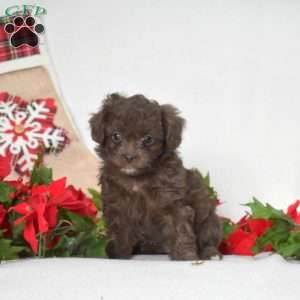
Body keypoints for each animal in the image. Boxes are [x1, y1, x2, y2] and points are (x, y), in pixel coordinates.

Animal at [90, 94, 221, 260]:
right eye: (116, 136)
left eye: (148, 139)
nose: (129, 157)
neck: (137, 177)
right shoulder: (117, 204)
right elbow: (118, 233)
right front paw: (117, 255)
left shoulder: (172, 202)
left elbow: (180, 228)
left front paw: (186, 256)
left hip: (206, 213)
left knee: (207, 234)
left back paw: (211, 253)